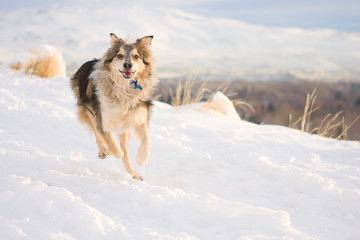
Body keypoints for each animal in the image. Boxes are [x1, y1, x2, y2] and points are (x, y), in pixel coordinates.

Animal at [71, 33, 157, 180]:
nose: (127, 65)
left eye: (136, 56)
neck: (124, 90)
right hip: (88, 110)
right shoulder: (102, 117)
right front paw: (114, 152)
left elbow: (146, 139)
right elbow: (109, 140)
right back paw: (103, 151)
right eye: (119, 55)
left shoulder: (139, 116)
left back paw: (134, 173)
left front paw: (142, 158)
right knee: (97, 133)